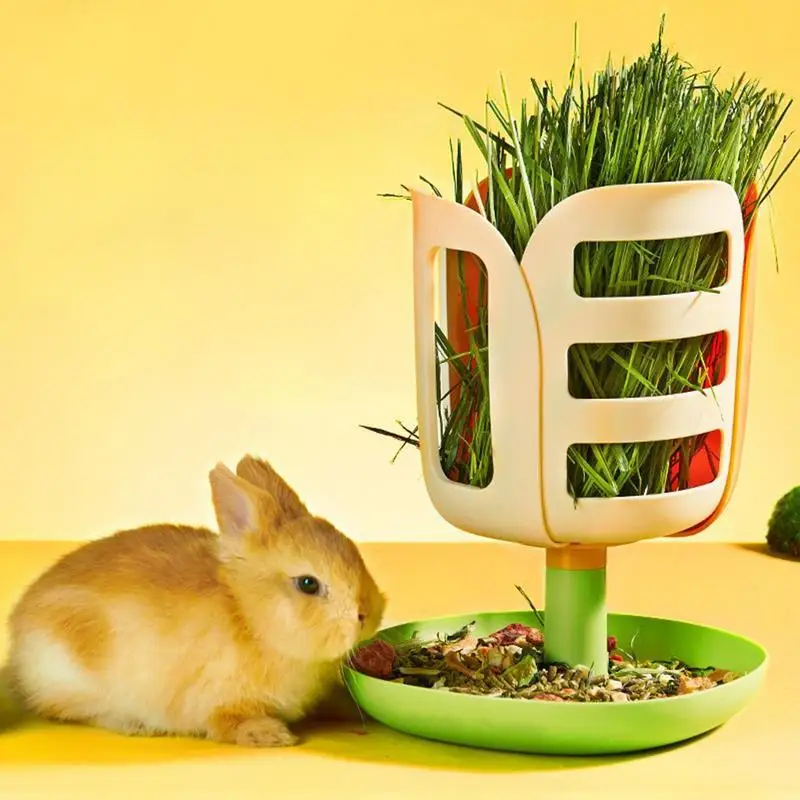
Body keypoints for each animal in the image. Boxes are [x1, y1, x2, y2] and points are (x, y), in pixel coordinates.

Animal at [4, 455, 387, 747]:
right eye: (308, 584)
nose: (369, 614)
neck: (250, 617)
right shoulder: (220, 698)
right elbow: (228, 722)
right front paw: (270, 735)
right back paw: (136, 725)